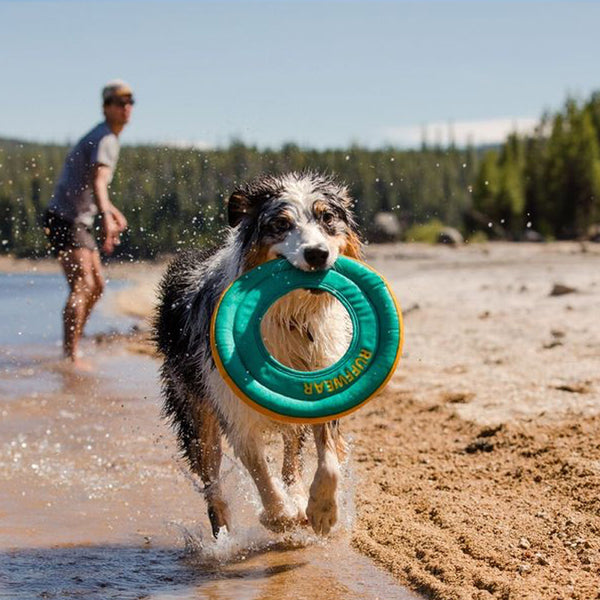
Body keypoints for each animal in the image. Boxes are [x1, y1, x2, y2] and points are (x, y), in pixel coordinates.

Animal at [154, 171, 360, 536]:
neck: (291, 316)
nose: (317, 254)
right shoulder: (235, 407)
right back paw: (223, 533)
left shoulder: (321, 379)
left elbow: (328, 458)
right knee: (211, 479)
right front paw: (280, 514)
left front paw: (321, 510)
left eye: (327, 218)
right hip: (195, 409)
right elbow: (257, 466)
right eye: (281, 223)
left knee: (292, 456)